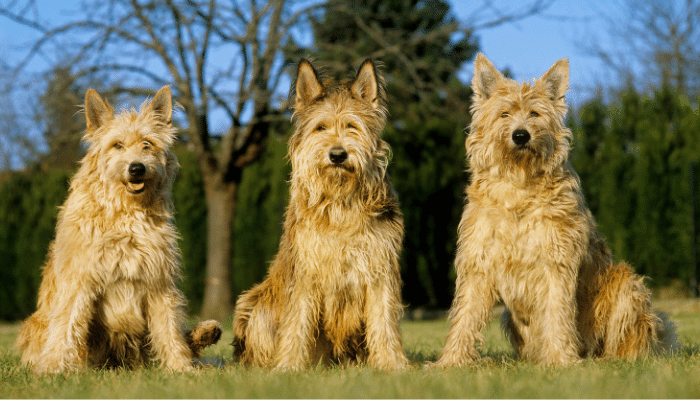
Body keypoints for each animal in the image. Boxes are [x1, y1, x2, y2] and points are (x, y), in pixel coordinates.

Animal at [15, 86, 221, 374]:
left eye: (147, 143)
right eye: (117, 145)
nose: (136, 168)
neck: (127, 213)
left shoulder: (158, 281)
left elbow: (169, 328)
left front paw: (180, 368)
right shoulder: (79, 279)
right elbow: (66, 324)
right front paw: (53, 368)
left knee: (183, 337)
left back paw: (206, 333)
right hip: (37, 324)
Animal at [232, 58, 408, 368]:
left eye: (352, 126)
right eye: (321, 127)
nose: (337, 155)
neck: (340, 203)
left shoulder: (380, 268)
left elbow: (384, 320)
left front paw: (392, 364)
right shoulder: (306, 270)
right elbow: (297, 322)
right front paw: (288, 366)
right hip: (255, 304)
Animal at [434, 54, 676, 368]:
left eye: (535, 114)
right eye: (504, 114)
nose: (520, 135)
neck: (519, 186)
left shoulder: (555, 263)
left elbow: (557, 312)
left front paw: (561, 360)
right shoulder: (479, 263)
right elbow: (465, 315)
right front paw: (450, 361)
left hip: (627, 286)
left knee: (628, 343)